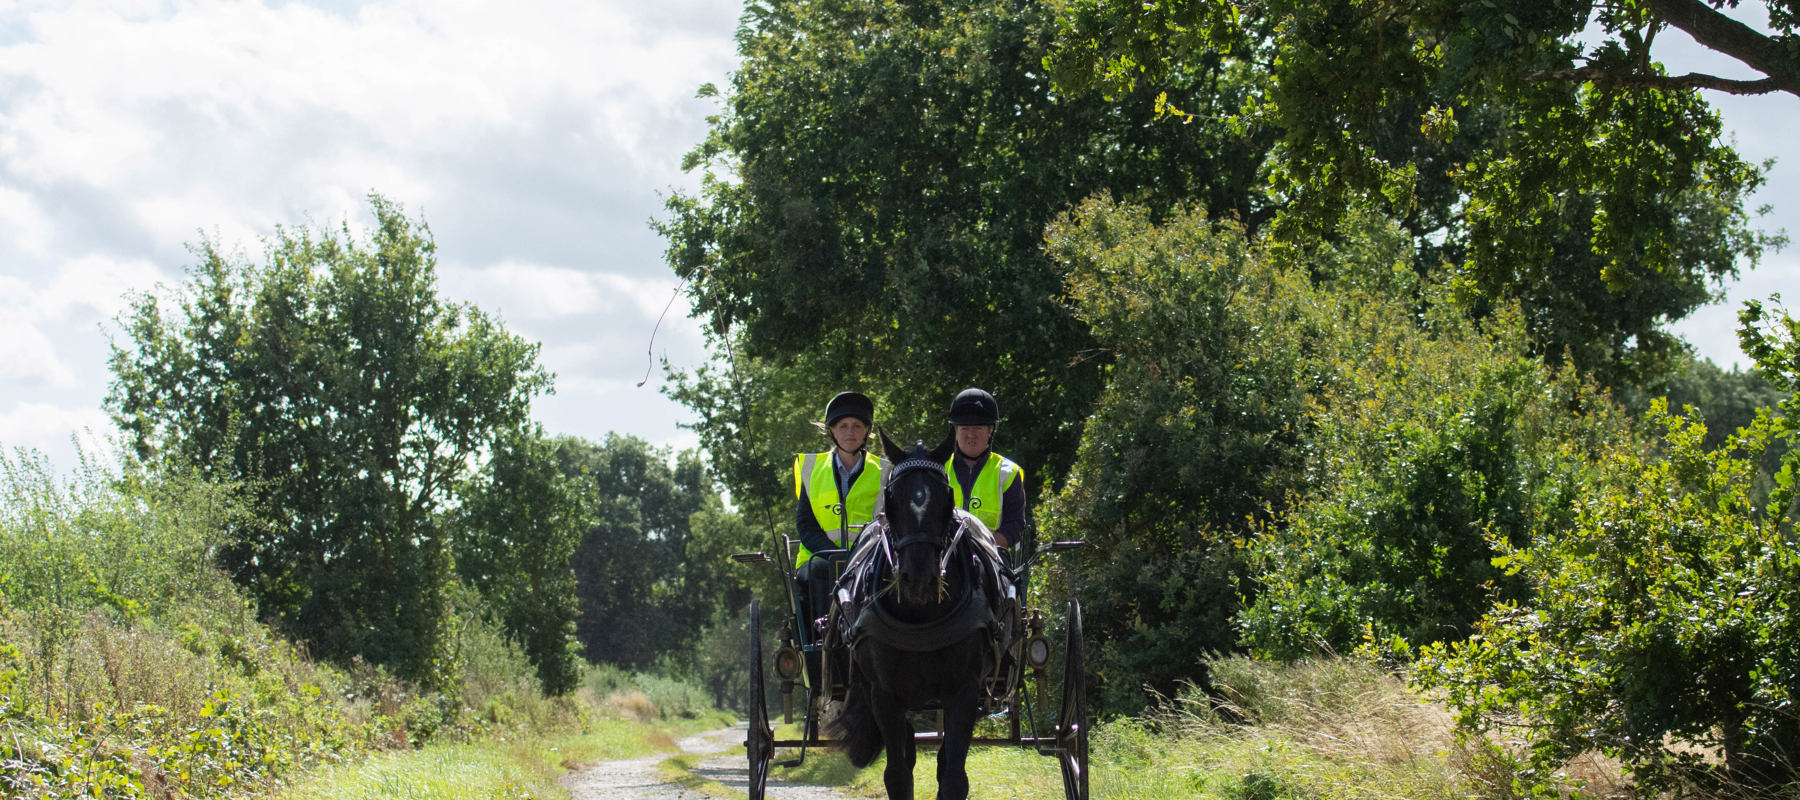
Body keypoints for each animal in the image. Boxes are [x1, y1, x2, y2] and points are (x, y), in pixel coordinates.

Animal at [824, 430, 1008, 800]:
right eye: (891, 499)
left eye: (946, 498)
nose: (919, 579)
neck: (920, 615)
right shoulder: (884, 695)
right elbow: (897, 774)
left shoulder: (965, 691)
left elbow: (954, 776)